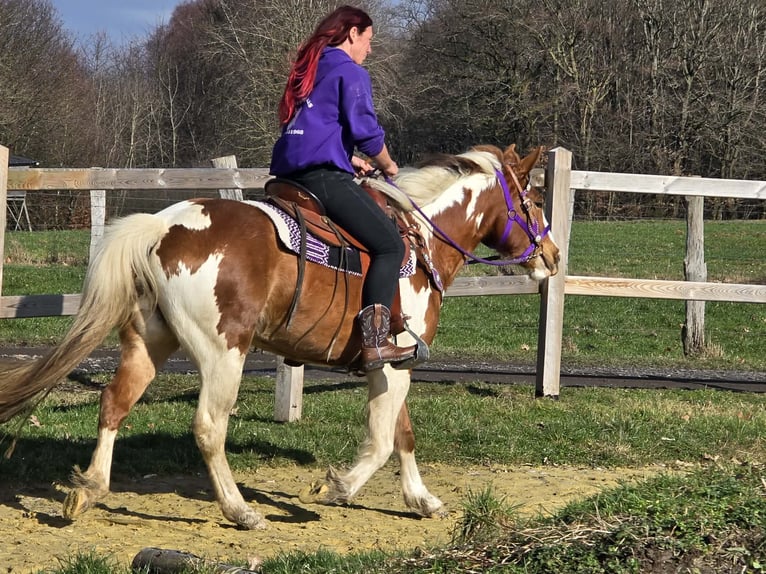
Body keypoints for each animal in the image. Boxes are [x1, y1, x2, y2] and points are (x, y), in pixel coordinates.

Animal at [0, 143, 559, 530]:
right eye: (532, 198)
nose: (552, 257)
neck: (420, 243)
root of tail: (159, 228)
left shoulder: (392, 364)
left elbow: (402, 434)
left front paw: (421, 500)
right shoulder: (395, 363)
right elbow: (382, 440)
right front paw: (337, 488)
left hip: (148, 345)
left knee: (114, 403)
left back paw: (89, 490)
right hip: (223, 354)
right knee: (209, 427)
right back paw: (240, 510)